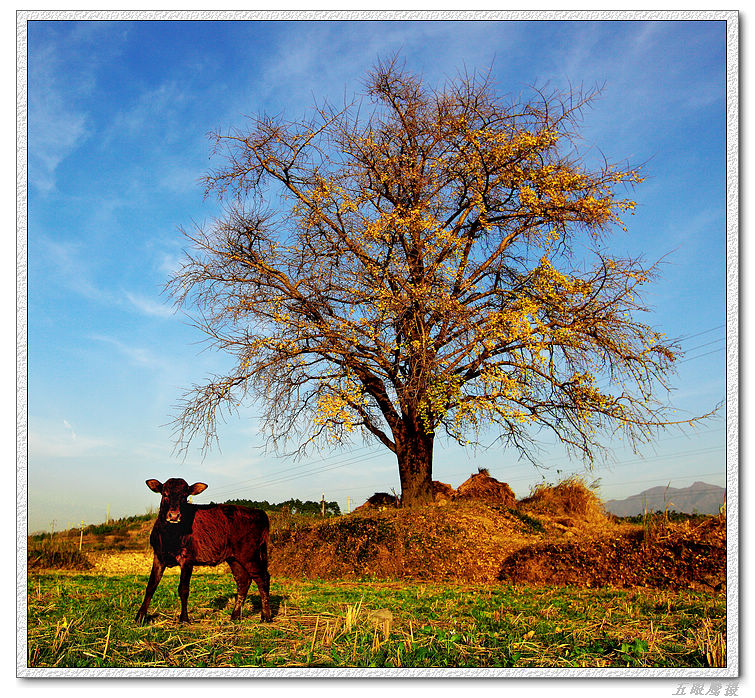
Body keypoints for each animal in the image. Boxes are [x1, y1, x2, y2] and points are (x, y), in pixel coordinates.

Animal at [136, 476, 272, 624]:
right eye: (165, 494)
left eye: (185, 496)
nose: (174, 515)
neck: (170, 536)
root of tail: (259, 512)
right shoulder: (159, 556)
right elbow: (151, 586)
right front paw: (140, 617)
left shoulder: (187, 558)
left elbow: (183, 589)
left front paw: (184, 619)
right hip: (234, 558)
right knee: (243, 581)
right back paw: (235, 616)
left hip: (249, 554)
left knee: (263, 578)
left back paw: (266, 616)